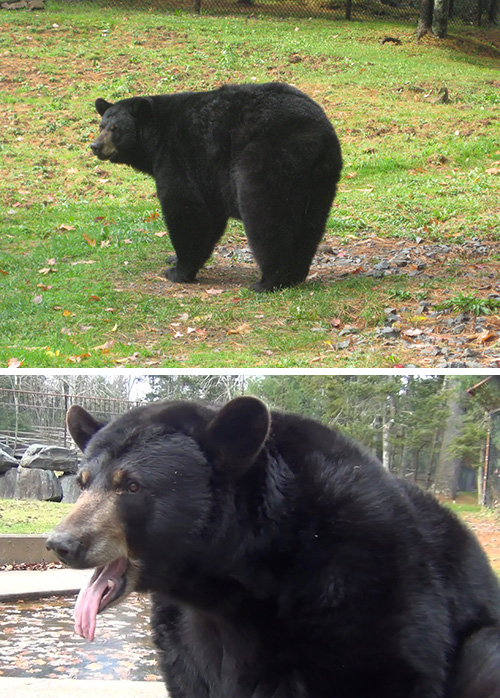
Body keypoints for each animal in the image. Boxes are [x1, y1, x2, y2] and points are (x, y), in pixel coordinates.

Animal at [90, 83, 342, 290]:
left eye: (115, 128)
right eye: (101, 125)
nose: (95, 146)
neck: (156, 137)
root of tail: (317, 137)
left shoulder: (179, 157)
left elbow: (187, 210)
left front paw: (178, 270)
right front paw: (174, 259)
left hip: (267, 159)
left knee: (267, 217)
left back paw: (268, 281)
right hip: (320, 182)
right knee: (310, 226)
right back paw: (296, 275)